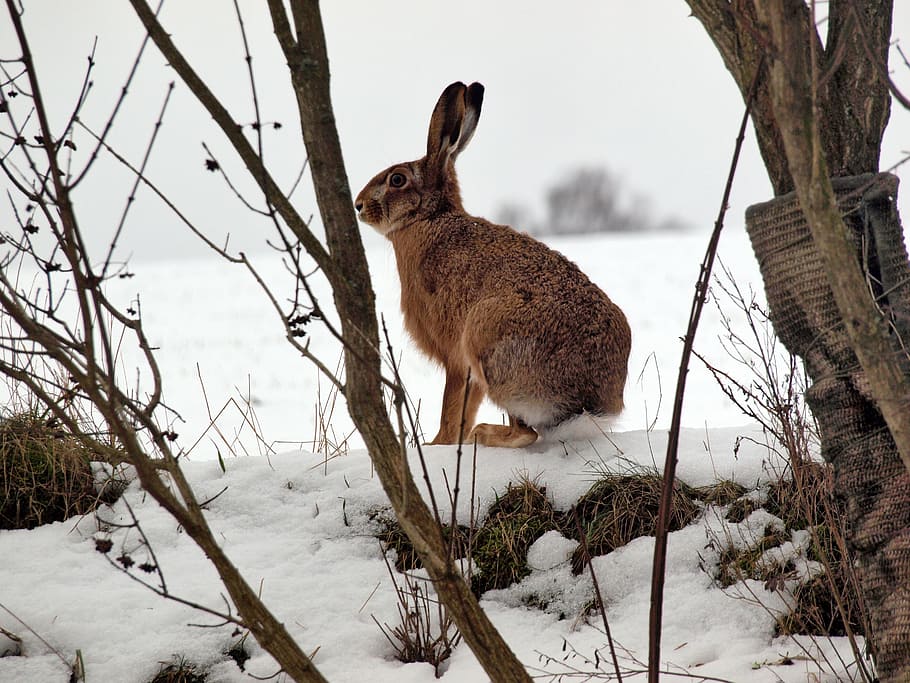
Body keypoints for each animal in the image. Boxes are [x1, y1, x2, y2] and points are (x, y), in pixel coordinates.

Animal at [355, 81, 631, 448]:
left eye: (397, 180)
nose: (358, 205)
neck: (430, 218)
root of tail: (587, 406)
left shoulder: (456, 355)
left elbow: (452, 406)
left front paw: (437, 444)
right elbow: (466, 404)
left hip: (486, 339)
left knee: (525, 434)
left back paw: (483, 434)